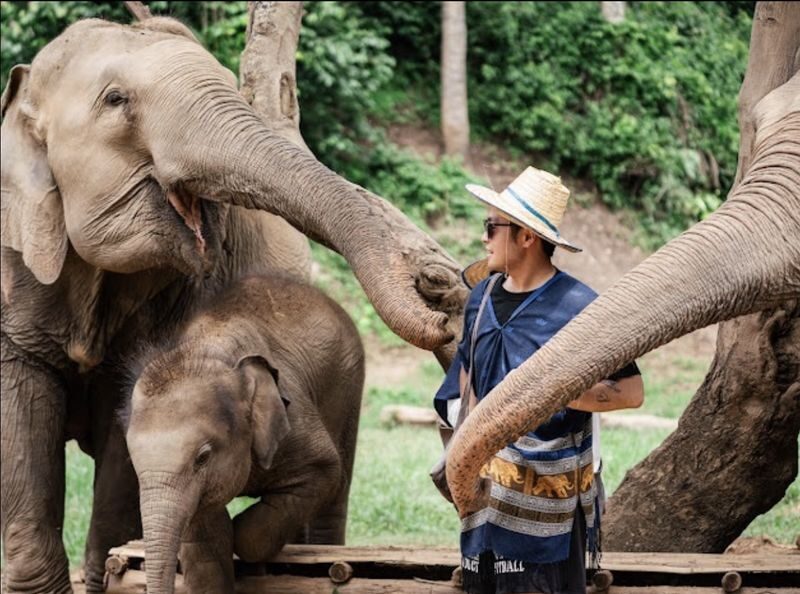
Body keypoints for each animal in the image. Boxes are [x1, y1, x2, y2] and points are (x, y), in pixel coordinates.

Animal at [123, 273, 364, 594]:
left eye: (202, 457)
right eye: (133, 463)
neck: (207, 350)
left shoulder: (294, 418)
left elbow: (325, 471)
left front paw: (242, 538)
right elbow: (206, 548)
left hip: (349, 382)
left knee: (337, 490)